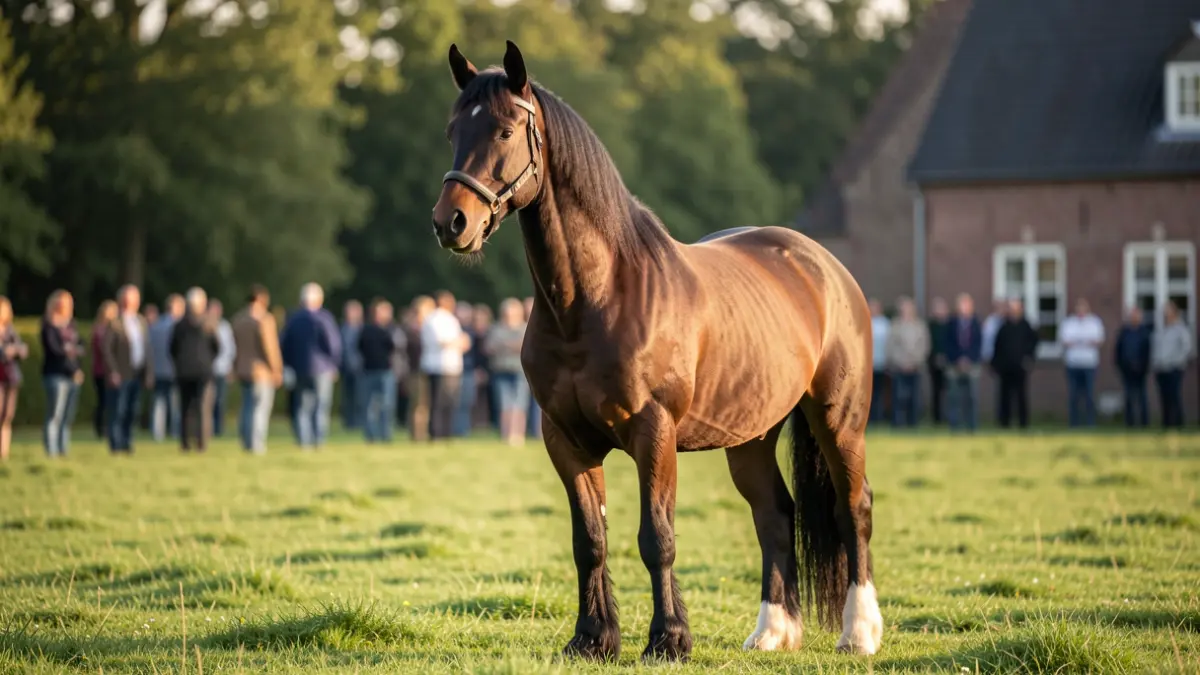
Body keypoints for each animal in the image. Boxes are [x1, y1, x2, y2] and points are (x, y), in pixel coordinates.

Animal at [431, 41, 882, 662]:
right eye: (453, 130)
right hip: (750, 435)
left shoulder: (655, 432)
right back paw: (772, 632)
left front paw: (668, 639)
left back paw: (859, 632)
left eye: (502, 131)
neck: (595, 299)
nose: (451, 222)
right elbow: (590, 540)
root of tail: (824, 267)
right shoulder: (564, 438)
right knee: (774, 514)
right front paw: (592, 638)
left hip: (838, 420)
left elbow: (656, 537)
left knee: (852, 508)